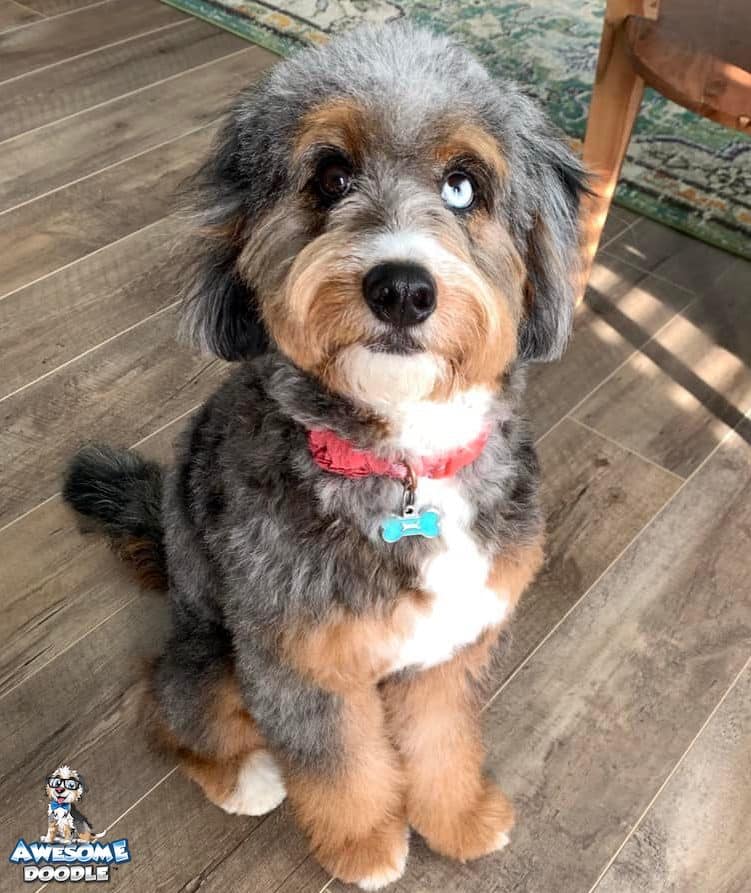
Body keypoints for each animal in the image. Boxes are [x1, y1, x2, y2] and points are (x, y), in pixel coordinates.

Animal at [63, 22, 588, 892]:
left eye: (463, 185)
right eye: (330, 176)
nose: (402, 288)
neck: (401, 461)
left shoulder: (446, 648)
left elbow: (441, 737)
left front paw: (456, 817)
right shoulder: (297, 662)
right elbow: (340, 761)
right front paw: (367, 844)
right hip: (215, 653)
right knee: (167, 708)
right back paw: (243, 778)